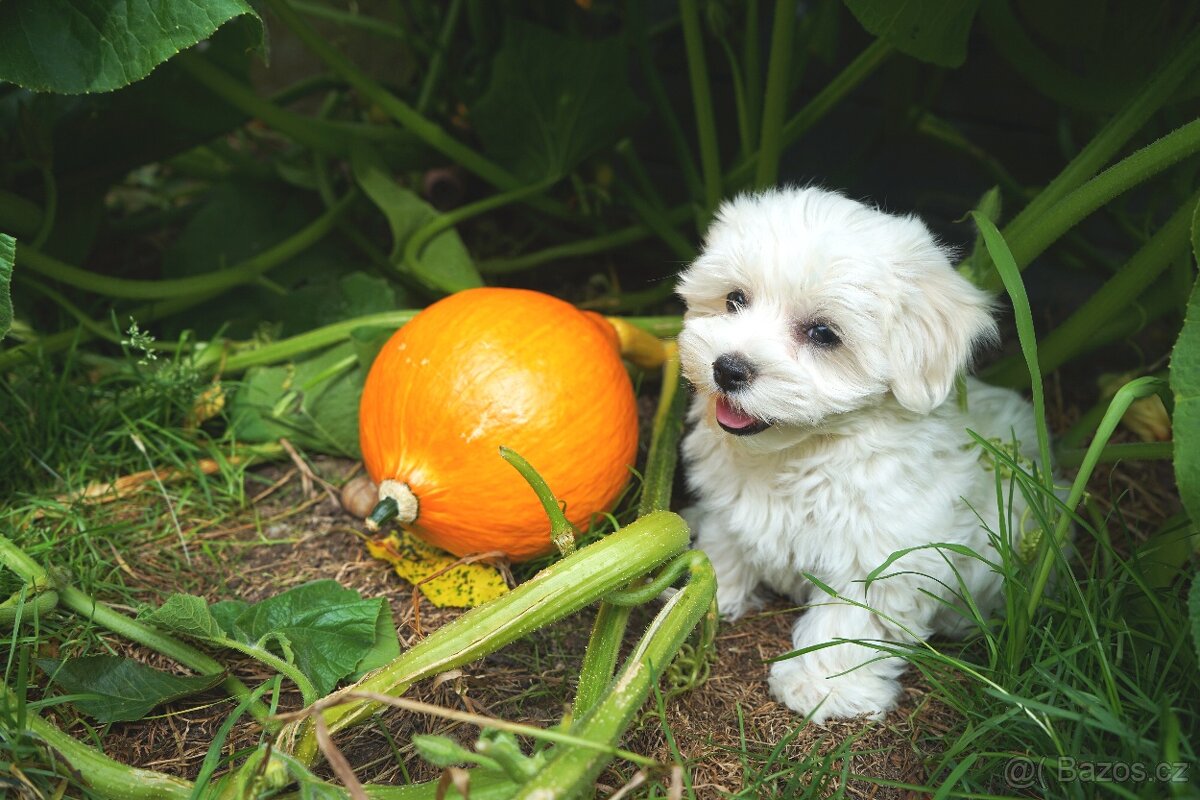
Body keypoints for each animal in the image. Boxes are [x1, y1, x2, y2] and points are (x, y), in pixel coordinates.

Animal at [676, 188, 1041, 724]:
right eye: (734, 300)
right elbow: (727, 541)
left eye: (823, 334)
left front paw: (819, 683)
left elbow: (850, 620)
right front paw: (711, 592)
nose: (728, 368)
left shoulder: (885, 553)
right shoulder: (730, 503)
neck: (803, 451)